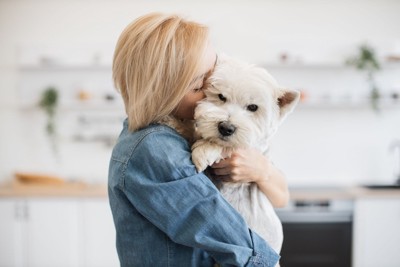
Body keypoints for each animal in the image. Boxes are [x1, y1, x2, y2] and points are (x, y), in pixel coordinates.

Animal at [191, 57, 300, 255]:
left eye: (253, 107)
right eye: (221, 97)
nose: (226, 128)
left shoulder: (252, 150)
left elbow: (228, 146)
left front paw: (203, 151)